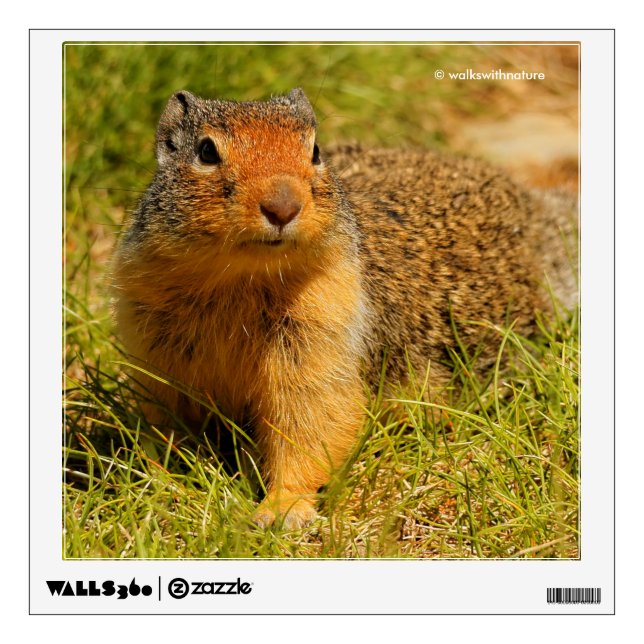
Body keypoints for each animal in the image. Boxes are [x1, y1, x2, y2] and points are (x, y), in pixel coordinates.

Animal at [111, 88, 577, 529]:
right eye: (206, 151)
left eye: (315, 150)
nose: (283, 206)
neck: (238, 278)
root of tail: (536, 209)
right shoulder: (156, 348)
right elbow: (167, 423)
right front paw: (160, 483)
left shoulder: (322, 336)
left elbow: (312, 423)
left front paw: (282, 509)